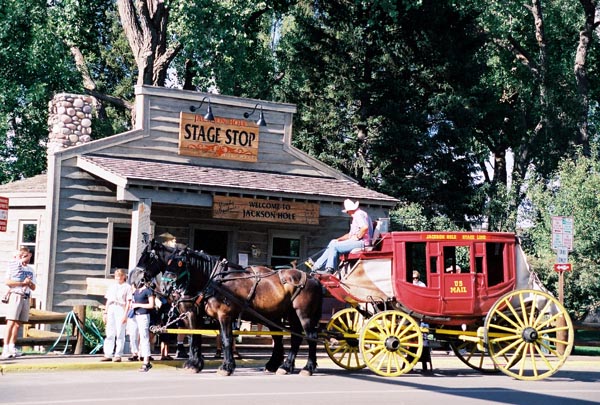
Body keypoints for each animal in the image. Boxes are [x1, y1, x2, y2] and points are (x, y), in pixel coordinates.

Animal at [134, 238, 324, 374]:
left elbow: (226, 339)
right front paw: (195, 364)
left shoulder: (221, 315)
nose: (136, 280)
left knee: (310, 336)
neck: (210, 280)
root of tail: (312, 278)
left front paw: (225, 367)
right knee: (291, 338)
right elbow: (194, 337)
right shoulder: (197, 314)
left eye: (149, 258)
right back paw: (282, 366)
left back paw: (307, 367)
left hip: (304, 315)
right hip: (280, 315)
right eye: (168, 262)